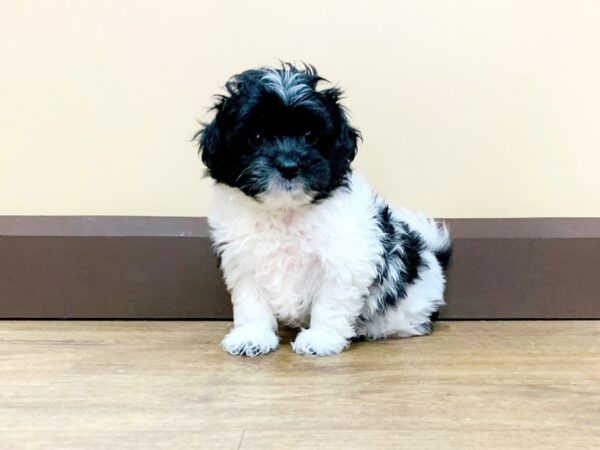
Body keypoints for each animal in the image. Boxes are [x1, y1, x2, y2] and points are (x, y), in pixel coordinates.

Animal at [196, 63, 450, 356]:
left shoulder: (343, 261)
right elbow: (252, 302)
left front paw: (321, 339)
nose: (289, 166)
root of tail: (430, 252)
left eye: (310, 136)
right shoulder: (244, 261)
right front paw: (252, 336)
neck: (285, 211)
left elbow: (330, 303)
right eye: (256, 137)